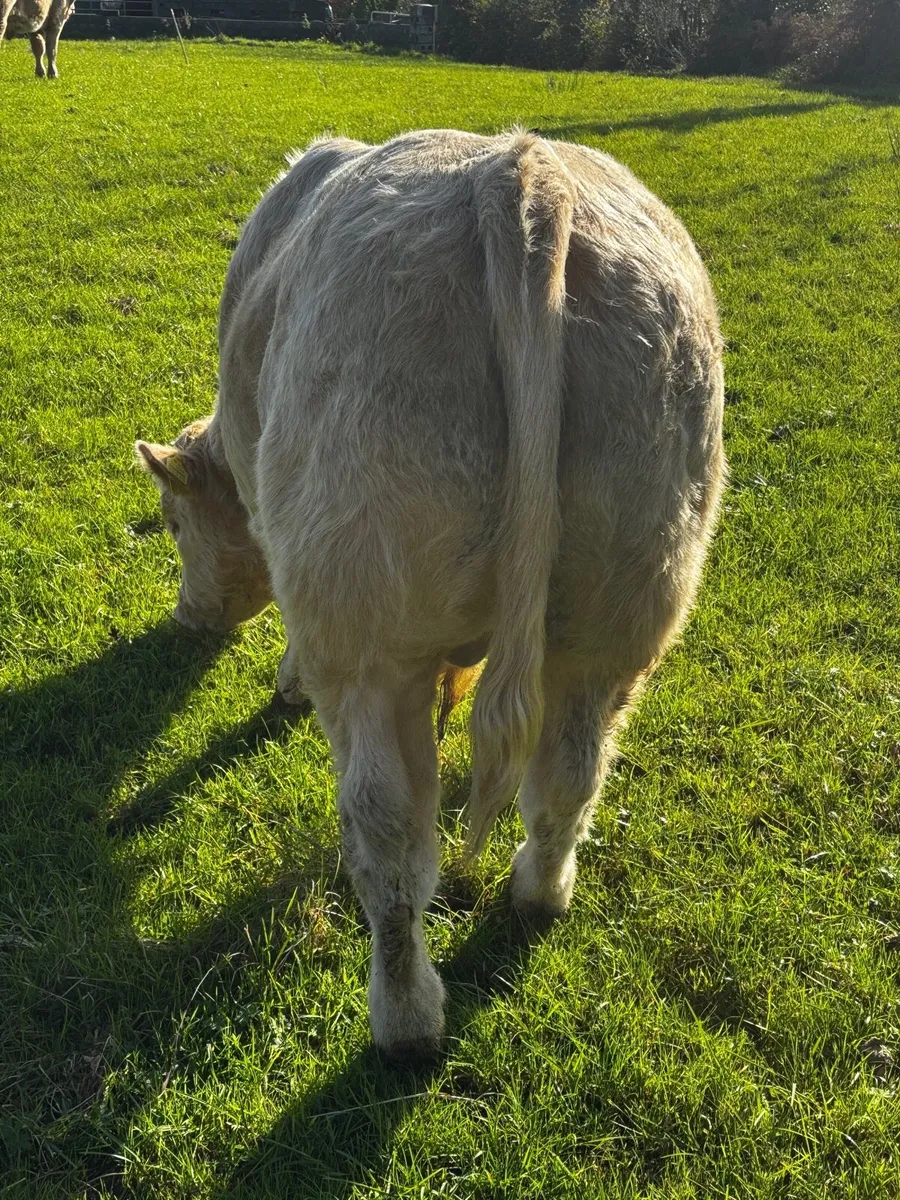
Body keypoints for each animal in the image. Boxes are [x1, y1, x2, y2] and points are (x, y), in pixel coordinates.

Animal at [135, 130, 726, 1061]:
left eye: (173, 520)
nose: (189, 620)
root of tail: (517, 170)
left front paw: (285, 681)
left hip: (364, 620)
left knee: (386, 831)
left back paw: (405, 1019)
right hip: (624, 604)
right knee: (570, 770)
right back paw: (538, 892)